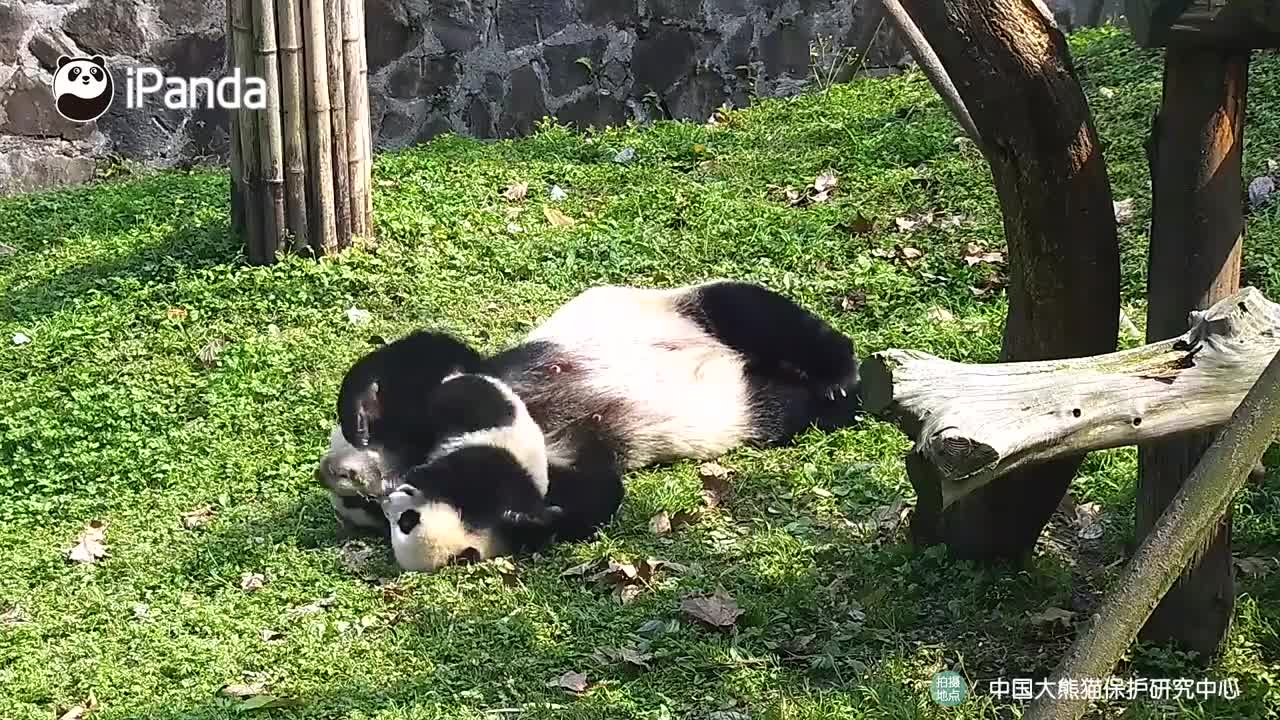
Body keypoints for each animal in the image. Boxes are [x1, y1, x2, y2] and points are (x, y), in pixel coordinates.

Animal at [314, 278, 865, 568]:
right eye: (362, 509)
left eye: (353, 498)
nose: (342, 479)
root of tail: (733, 363)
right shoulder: (559, 463)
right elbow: (594, 491)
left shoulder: (457, 386)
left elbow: (430, 354)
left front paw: (359, 409)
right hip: (745, 405)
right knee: (783, 403)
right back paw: (834, 397)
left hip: (681, 309)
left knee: (751, 309)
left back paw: (840, 372)